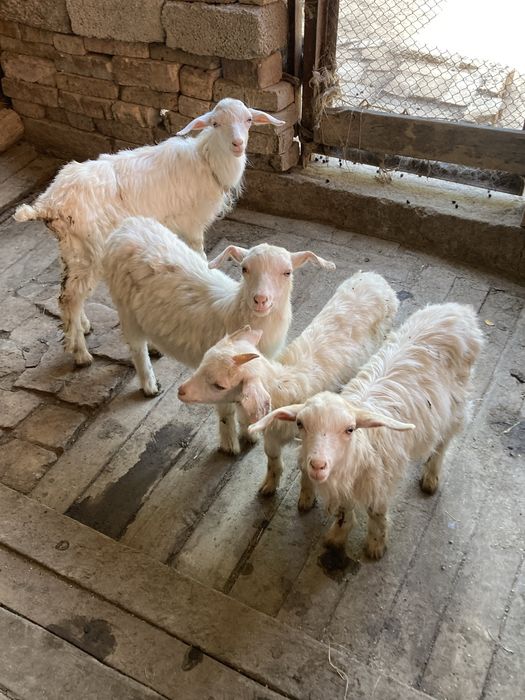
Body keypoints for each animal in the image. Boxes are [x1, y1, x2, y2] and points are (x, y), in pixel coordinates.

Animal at [14, 98, 284, 367]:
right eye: (215, 123)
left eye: (248, 120)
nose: (238, 144)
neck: (205, 160)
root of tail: (49, 203)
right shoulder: (192, 224)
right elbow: (200, 256)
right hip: (90, 249)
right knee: (70, 297)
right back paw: (81, 354)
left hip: (72, 247)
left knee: (68, 292)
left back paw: (83, 326)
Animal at [103, 216, 336, 454]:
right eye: (244, 269)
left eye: (287, 272)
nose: (260, 300)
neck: (235, 312)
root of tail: (129, 224)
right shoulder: (219, 372)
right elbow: (227, 411)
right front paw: (230, 444)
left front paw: (249, 432)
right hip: (124, 306)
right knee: (136, 347)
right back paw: (149, 384)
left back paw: (154, 347)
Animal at [178, 271, 399, 495]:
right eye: (203, 362)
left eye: (219, 385)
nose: (181, 391)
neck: (282, 385)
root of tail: (374, 277)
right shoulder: (272, 433)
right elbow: (272, 456)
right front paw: (269, 484)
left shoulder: (310, 437)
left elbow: (306, 467)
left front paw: (306, 496)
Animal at [248, 303, 484, 559]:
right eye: (300, 424)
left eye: (350, 429)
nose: (318, 465)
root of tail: (457, 310)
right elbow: (344, 511)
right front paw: (337, 536)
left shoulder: (379, 483)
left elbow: (376, 513)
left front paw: (375, 545)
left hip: (457, 405)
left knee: (444, 440)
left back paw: (431, 475)